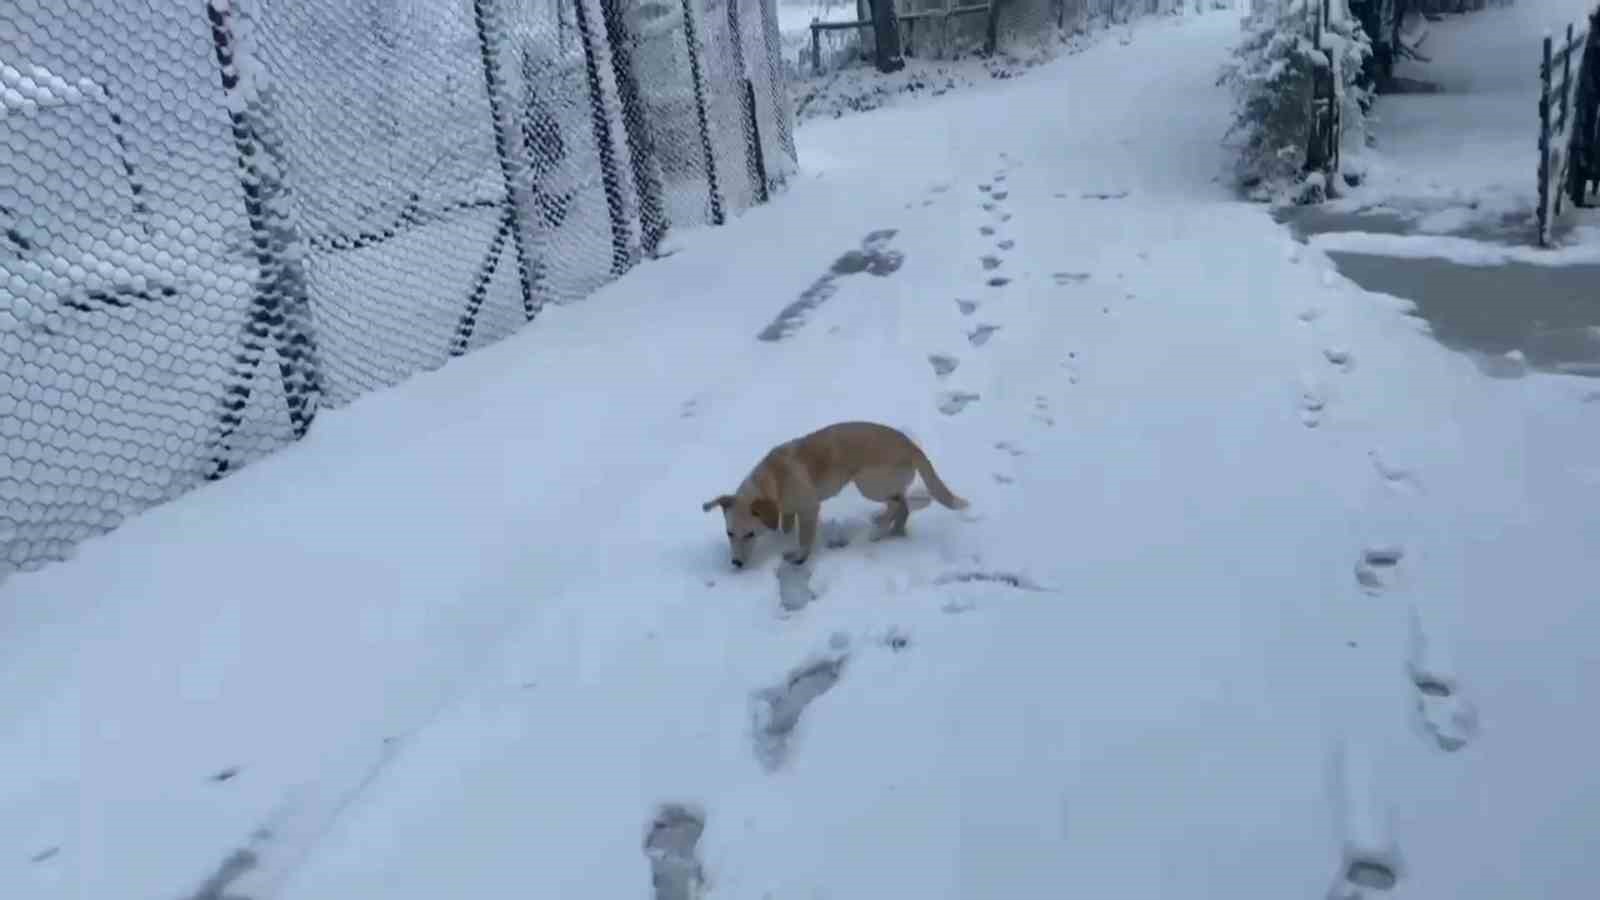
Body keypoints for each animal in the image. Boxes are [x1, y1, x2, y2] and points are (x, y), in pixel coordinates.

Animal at [704, 419, 972, 566]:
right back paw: (892, 530)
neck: (774, 478)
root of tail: (912, 446)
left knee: (898, 503)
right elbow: (787, 525)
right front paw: (782, 535)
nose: (737, 564)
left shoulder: (809, 508)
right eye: (729, 533)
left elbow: (804, 538)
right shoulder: (788, 509)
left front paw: (799, 556)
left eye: (750, 535)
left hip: (867, 484)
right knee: (902, 504)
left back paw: (878, 529)